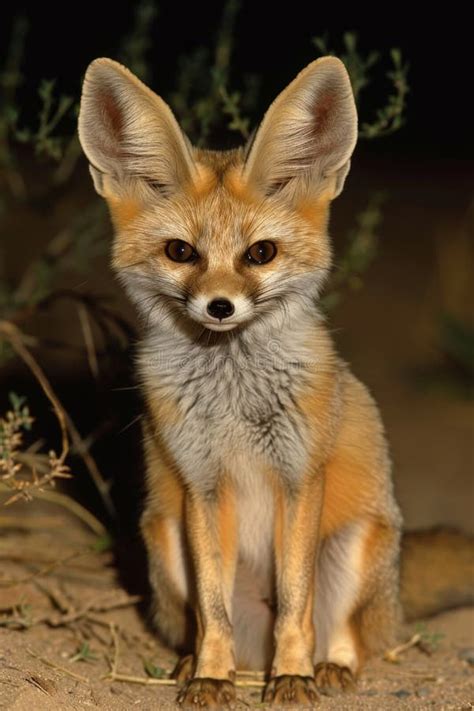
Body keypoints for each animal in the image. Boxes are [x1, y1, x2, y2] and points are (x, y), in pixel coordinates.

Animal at [78, 57, 404, 708]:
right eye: (181, 252)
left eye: (261, 253)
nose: (220, 307)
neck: (234, 397)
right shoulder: (202, 484)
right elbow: (213, 608)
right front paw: (211, 675)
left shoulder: (300, 477)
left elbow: (296, 604)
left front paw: (293, 676)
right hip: (163, 539)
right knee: (206, 617)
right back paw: (194, 662)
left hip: (354, 547)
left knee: (347, 631)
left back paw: (332, 666)